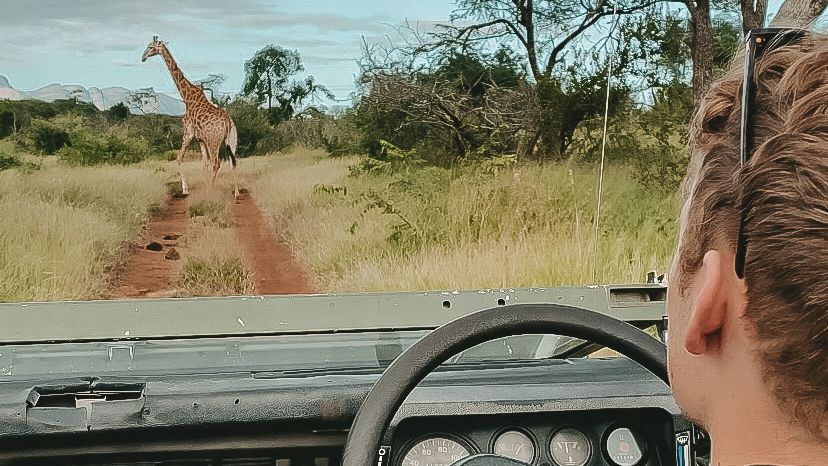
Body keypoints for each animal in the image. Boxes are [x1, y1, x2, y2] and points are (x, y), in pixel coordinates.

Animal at [141, 36, 239, 198]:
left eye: (150, 47)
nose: (142, 57)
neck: (187, 98)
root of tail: (229, 123)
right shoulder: (200, 139)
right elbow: (204, 164)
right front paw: (204, 185)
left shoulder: (188, 132)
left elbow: (179, 157)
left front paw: (186, 189)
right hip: (231, 141)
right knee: (233, 161)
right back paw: (236, 192)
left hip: (214, 141)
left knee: (217, 162)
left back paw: (210, 190)